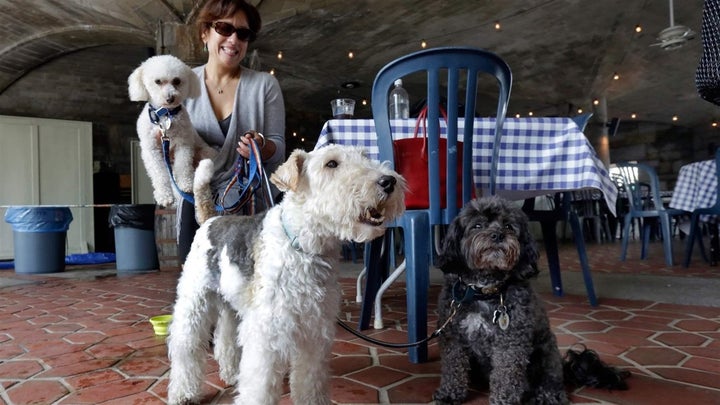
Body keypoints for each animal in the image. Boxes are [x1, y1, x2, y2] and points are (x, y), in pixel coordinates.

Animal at [128, 54, 215, 207]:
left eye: (177, 81)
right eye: (157, 81)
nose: (170, 98)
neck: (165, 115)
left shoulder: (183, 144)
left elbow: (183, 166)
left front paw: (186, 184)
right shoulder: (151, 150)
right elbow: (159, 174)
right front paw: (164, 195)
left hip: (205, 152)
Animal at [166, 145, 408, 404]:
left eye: (364, 155)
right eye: (331, 164)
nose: (388, 181)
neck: (305, 247)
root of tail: (211, 218)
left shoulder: (315, 330)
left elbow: (310, 379)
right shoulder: (267, 334)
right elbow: (260, 387)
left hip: (232, 304)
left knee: (225, 339)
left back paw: (231, 374)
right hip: (194, 302)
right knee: (185, 347)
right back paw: (183, 393)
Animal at [430, 196, 628, 404]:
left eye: (508, 226)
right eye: (477, 225)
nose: (497, 235)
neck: (485, 289)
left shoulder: (510, 341)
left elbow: (506, 375)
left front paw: (503, 400)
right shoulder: (453, 336)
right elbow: (453, 367)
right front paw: (450, 393)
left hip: (547, 353)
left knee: (551, 381)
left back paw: (547, 395)